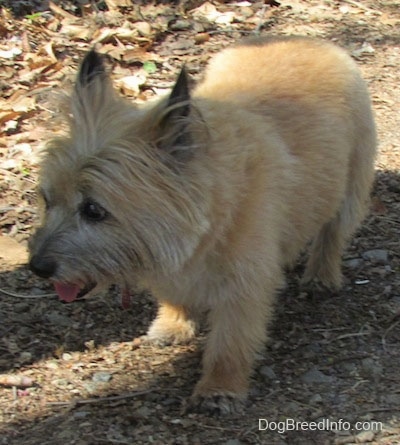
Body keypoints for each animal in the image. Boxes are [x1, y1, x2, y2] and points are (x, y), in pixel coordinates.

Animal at [29, 37, 376, 412]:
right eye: (47, 199)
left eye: (93, 210)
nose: (37, 267)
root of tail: (307, 41)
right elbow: (175, 293)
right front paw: (174, 322)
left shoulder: (245, 283)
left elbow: (230, 340)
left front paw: (219, 387)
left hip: (352, 186)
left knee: (333, 233)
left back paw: (321, 275)